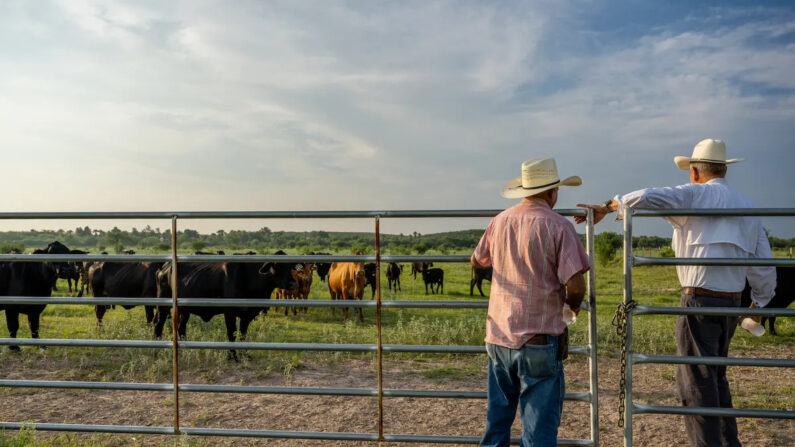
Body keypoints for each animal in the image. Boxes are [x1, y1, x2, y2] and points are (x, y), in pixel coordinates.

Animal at [152, 252, 296, 360]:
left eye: (291, 266)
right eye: (277, 265)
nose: (292, 283)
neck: (249, 277)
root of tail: (164, 267)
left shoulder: (247, 315)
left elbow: (243, 334)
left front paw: (244, 355)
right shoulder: (229, 312)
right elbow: (231, 333)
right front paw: (232, 356)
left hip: (184, 311)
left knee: (181, 328)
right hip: (163, 307)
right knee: (158, 327)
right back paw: (156, 352)